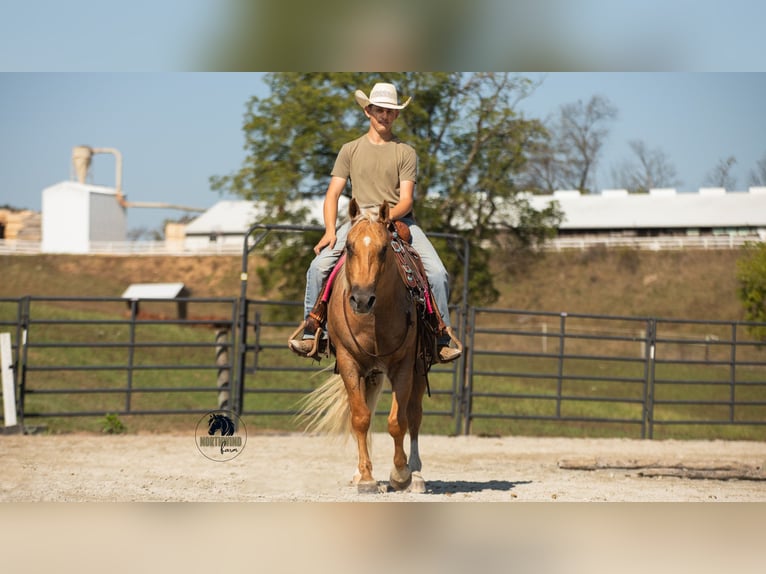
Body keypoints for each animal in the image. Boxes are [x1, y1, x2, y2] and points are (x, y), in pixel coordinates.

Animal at [299, 198, 428, 493]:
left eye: (384, 249)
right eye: (348, 247)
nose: (361, 299)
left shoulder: (403, 365)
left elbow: (398, 422)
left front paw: (400, 474)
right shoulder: (350, 363)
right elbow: (360, 418)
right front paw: (367, 478)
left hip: (417, 367)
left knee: (414, 415)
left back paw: (415, 475)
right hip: (369, 373)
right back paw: (360, 473)